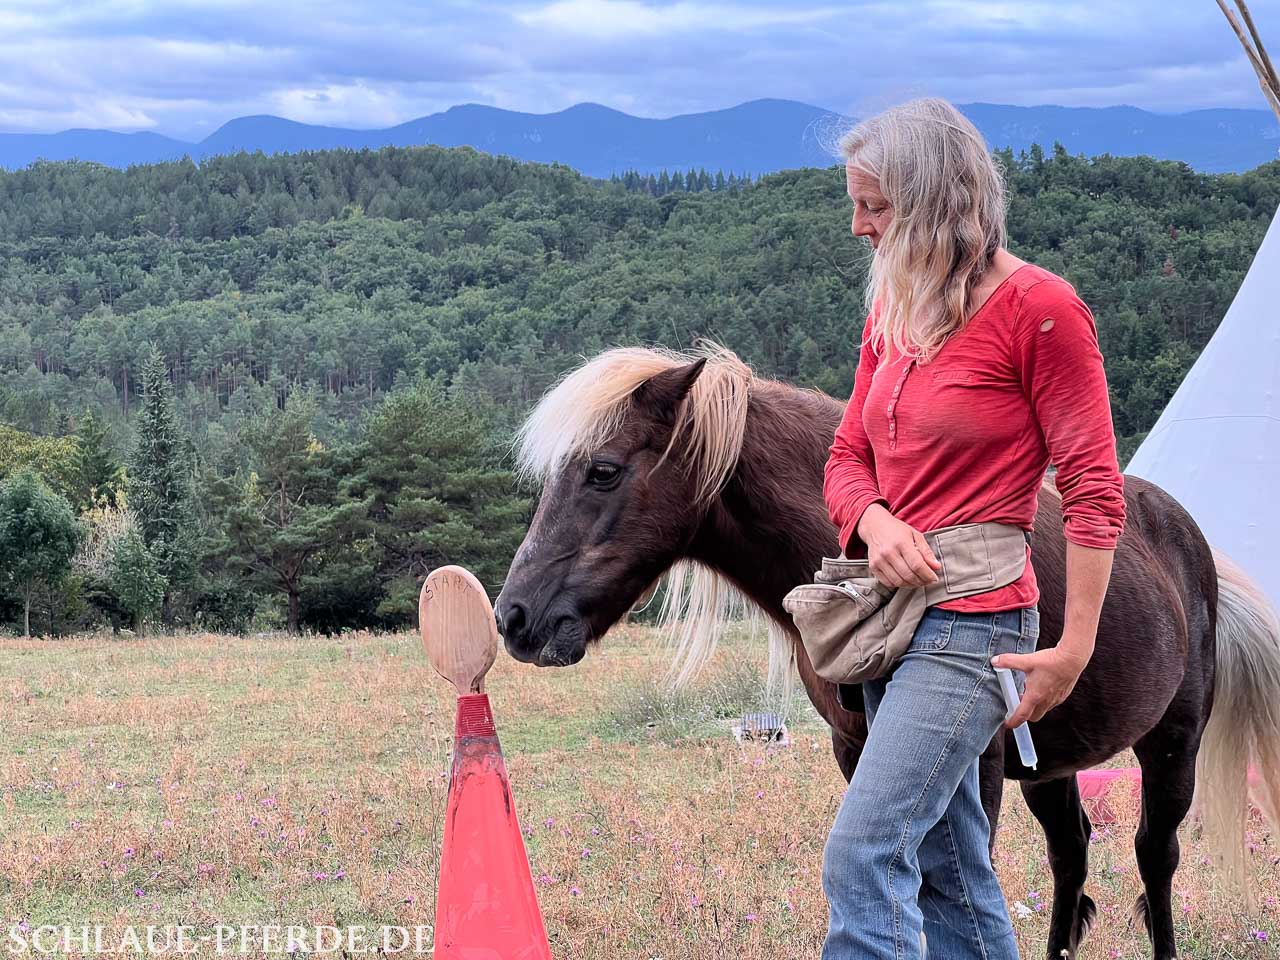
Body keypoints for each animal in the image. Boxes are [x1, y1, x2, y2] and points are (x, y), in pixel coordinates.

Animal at [493, 341, 1280, 960]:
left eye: (602, 470)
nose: (513, 617)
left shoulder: (976, 768)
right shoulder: (859, 751)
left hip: (1173, 744)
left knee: (1155, 860)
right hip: (1051, 762)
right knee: (1072, 856)